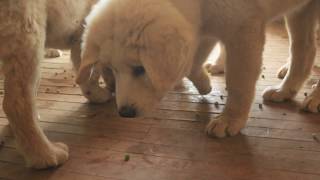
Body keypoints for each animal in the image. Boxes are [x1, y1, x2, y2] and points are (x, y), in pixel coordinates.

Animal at [77, 0, 318, 137]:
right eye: (112, 70)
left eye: (139, 69)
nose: (125, 114)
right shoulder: (203, 24)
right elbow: (191, 64)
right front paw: (204, 85)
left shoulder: (243, 29)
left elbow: (239, 83)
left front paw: (230, 120)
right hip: (302, 11)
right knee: (305, 49)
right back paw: (285, 90)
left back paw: (314, 99)